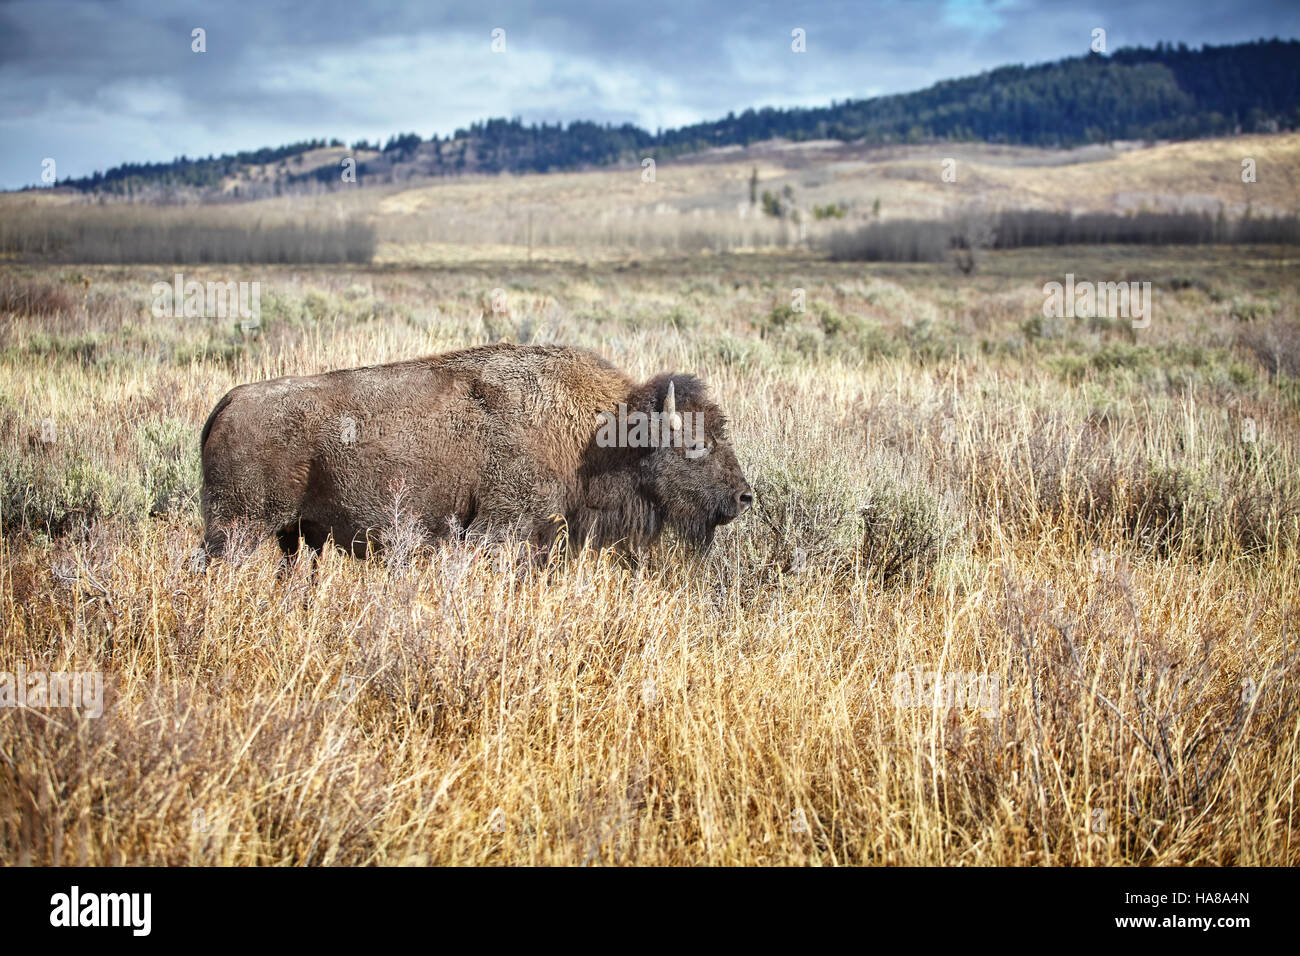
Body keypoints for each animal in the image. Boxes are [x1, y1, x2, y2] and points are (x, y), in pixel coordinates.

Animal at [197, 343, 759, 556]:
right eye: (695, 443)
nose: (744, 497)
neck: (596, 435)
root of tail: (228, 402)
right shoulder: (502, 528)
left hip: (290, 537)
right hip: (240, 529)